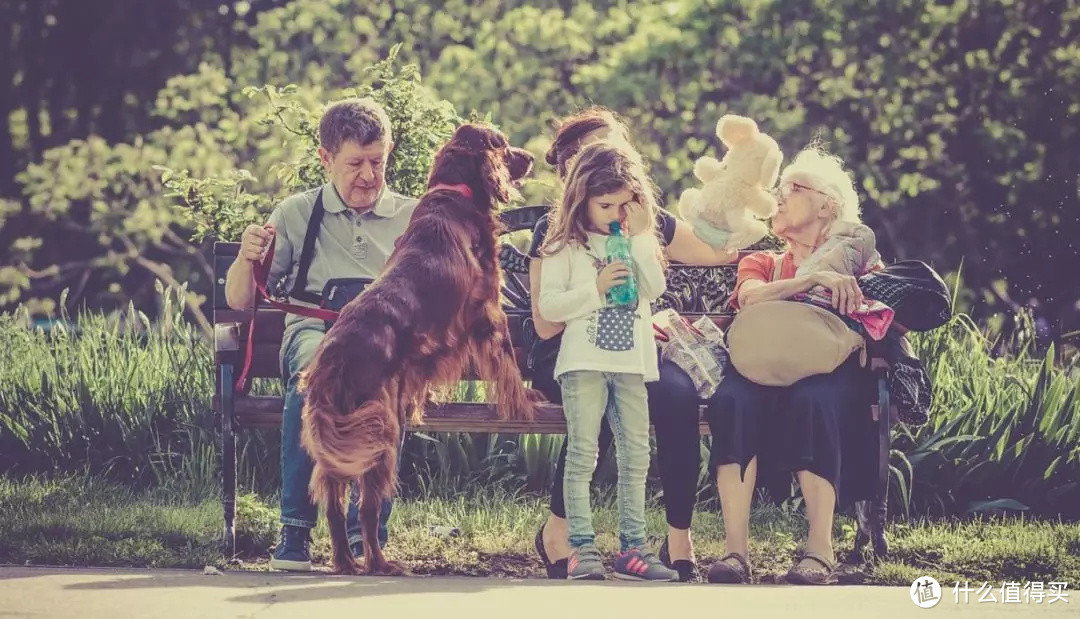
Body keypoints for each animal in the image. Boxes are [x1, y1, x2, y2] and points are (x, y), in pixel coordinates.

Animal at [298, 123, 540, 579]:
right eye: (502, 143)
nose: (532, 156)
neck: (455, 191)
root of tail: (332, 360)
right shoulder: (488, 311)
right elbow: (507, 363)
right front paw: (525, 401)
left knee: (336, 505)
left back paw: (345, 562)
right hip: (380, 433)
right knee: (368, 508)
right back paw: (380, 564)